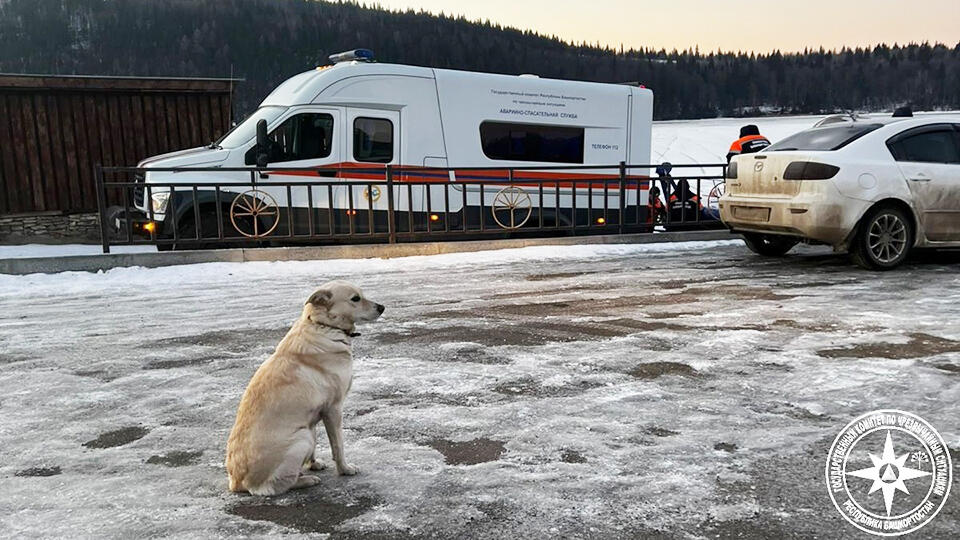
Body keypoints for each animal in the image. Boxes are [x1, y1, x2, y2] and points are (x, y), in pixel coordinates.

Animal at [227, 280, 384, 496]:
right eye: (355, 299)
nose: (382, 307)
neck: (323, 325)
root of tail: (237, 482)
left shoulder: (314, 415)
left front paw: (314, 463)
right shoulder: (334, 409)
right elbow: (338, 446)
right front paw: (344, 469)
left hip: (307, 432)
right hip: (302, 438)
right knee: (274, 486)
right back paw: (306, 480)